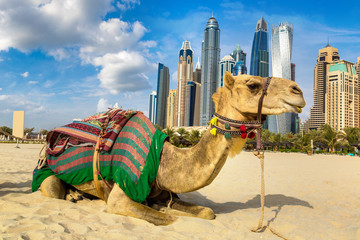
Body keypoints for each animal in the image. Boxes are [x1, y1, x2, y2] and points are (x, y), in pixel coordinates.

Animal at [39, 72, 306, 225]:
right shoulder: (120, 195)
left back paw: (76, 194)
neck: (164, 160)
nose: (298, 91)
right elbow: (169, 219)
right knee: (52, 189)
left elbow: (206, 212)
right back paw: (72, 195)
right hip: (47, 174)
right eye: (252, 84)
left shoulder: (164, 191)